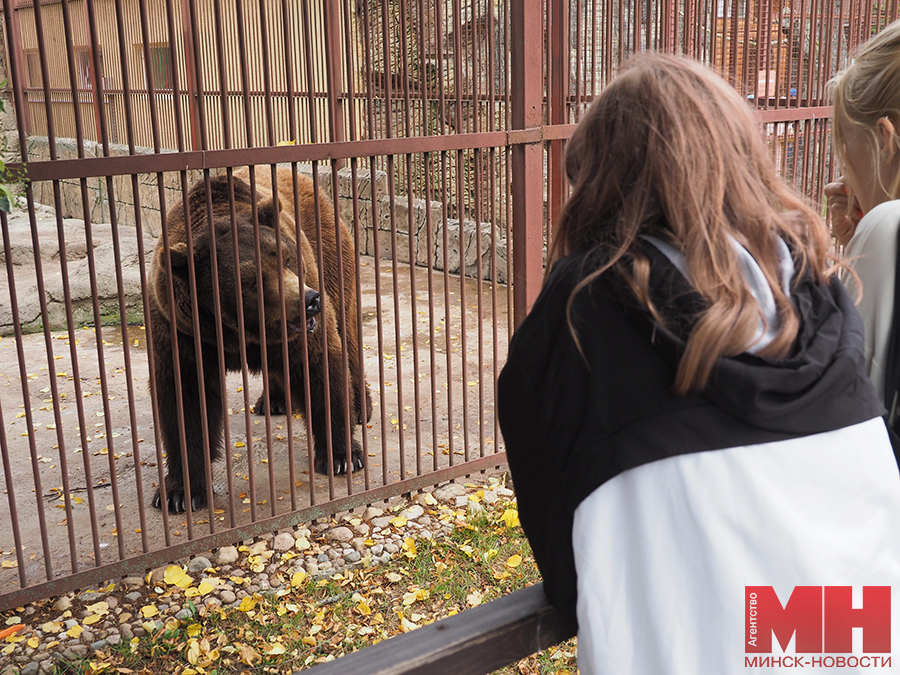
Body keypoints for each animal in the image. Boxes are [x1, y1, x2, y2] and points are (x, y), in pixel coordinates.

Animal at [149, 168, 368, 512]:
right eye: (252, 281)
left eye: (287, 259)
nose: (310, 300)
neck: (238, 332)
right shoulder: (181, 329)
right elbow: (185, 398)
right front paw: (179, 492)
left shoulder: (303, 324)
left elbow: (321, 365)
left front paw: (343, 456)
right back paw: (273, 400)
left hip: (330, 252)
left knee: (347, 331)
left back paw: (360, 407)